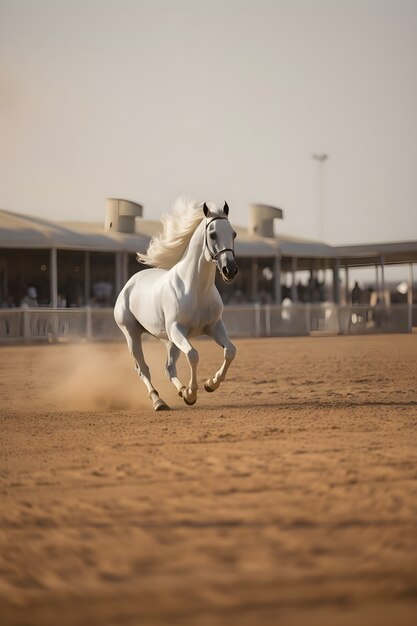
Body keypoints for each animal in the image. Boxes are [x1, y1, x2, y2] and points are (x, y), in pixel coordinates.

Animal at [113, 196, 237, 410]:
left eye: (234, 234)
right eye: (212, 234)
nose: (230, 270)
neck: (195, 290)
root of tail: (129, 284)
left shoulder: (213, 327)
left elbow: (230, 351)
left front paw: (209, 384)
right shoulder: (178, 329)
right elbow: (194, 355)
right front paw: (193, 392)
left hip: (169, 340)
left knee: (169, 368)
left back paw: (181, 391)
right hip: (132, 334)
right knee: (143, 369)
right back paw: (159, 401)